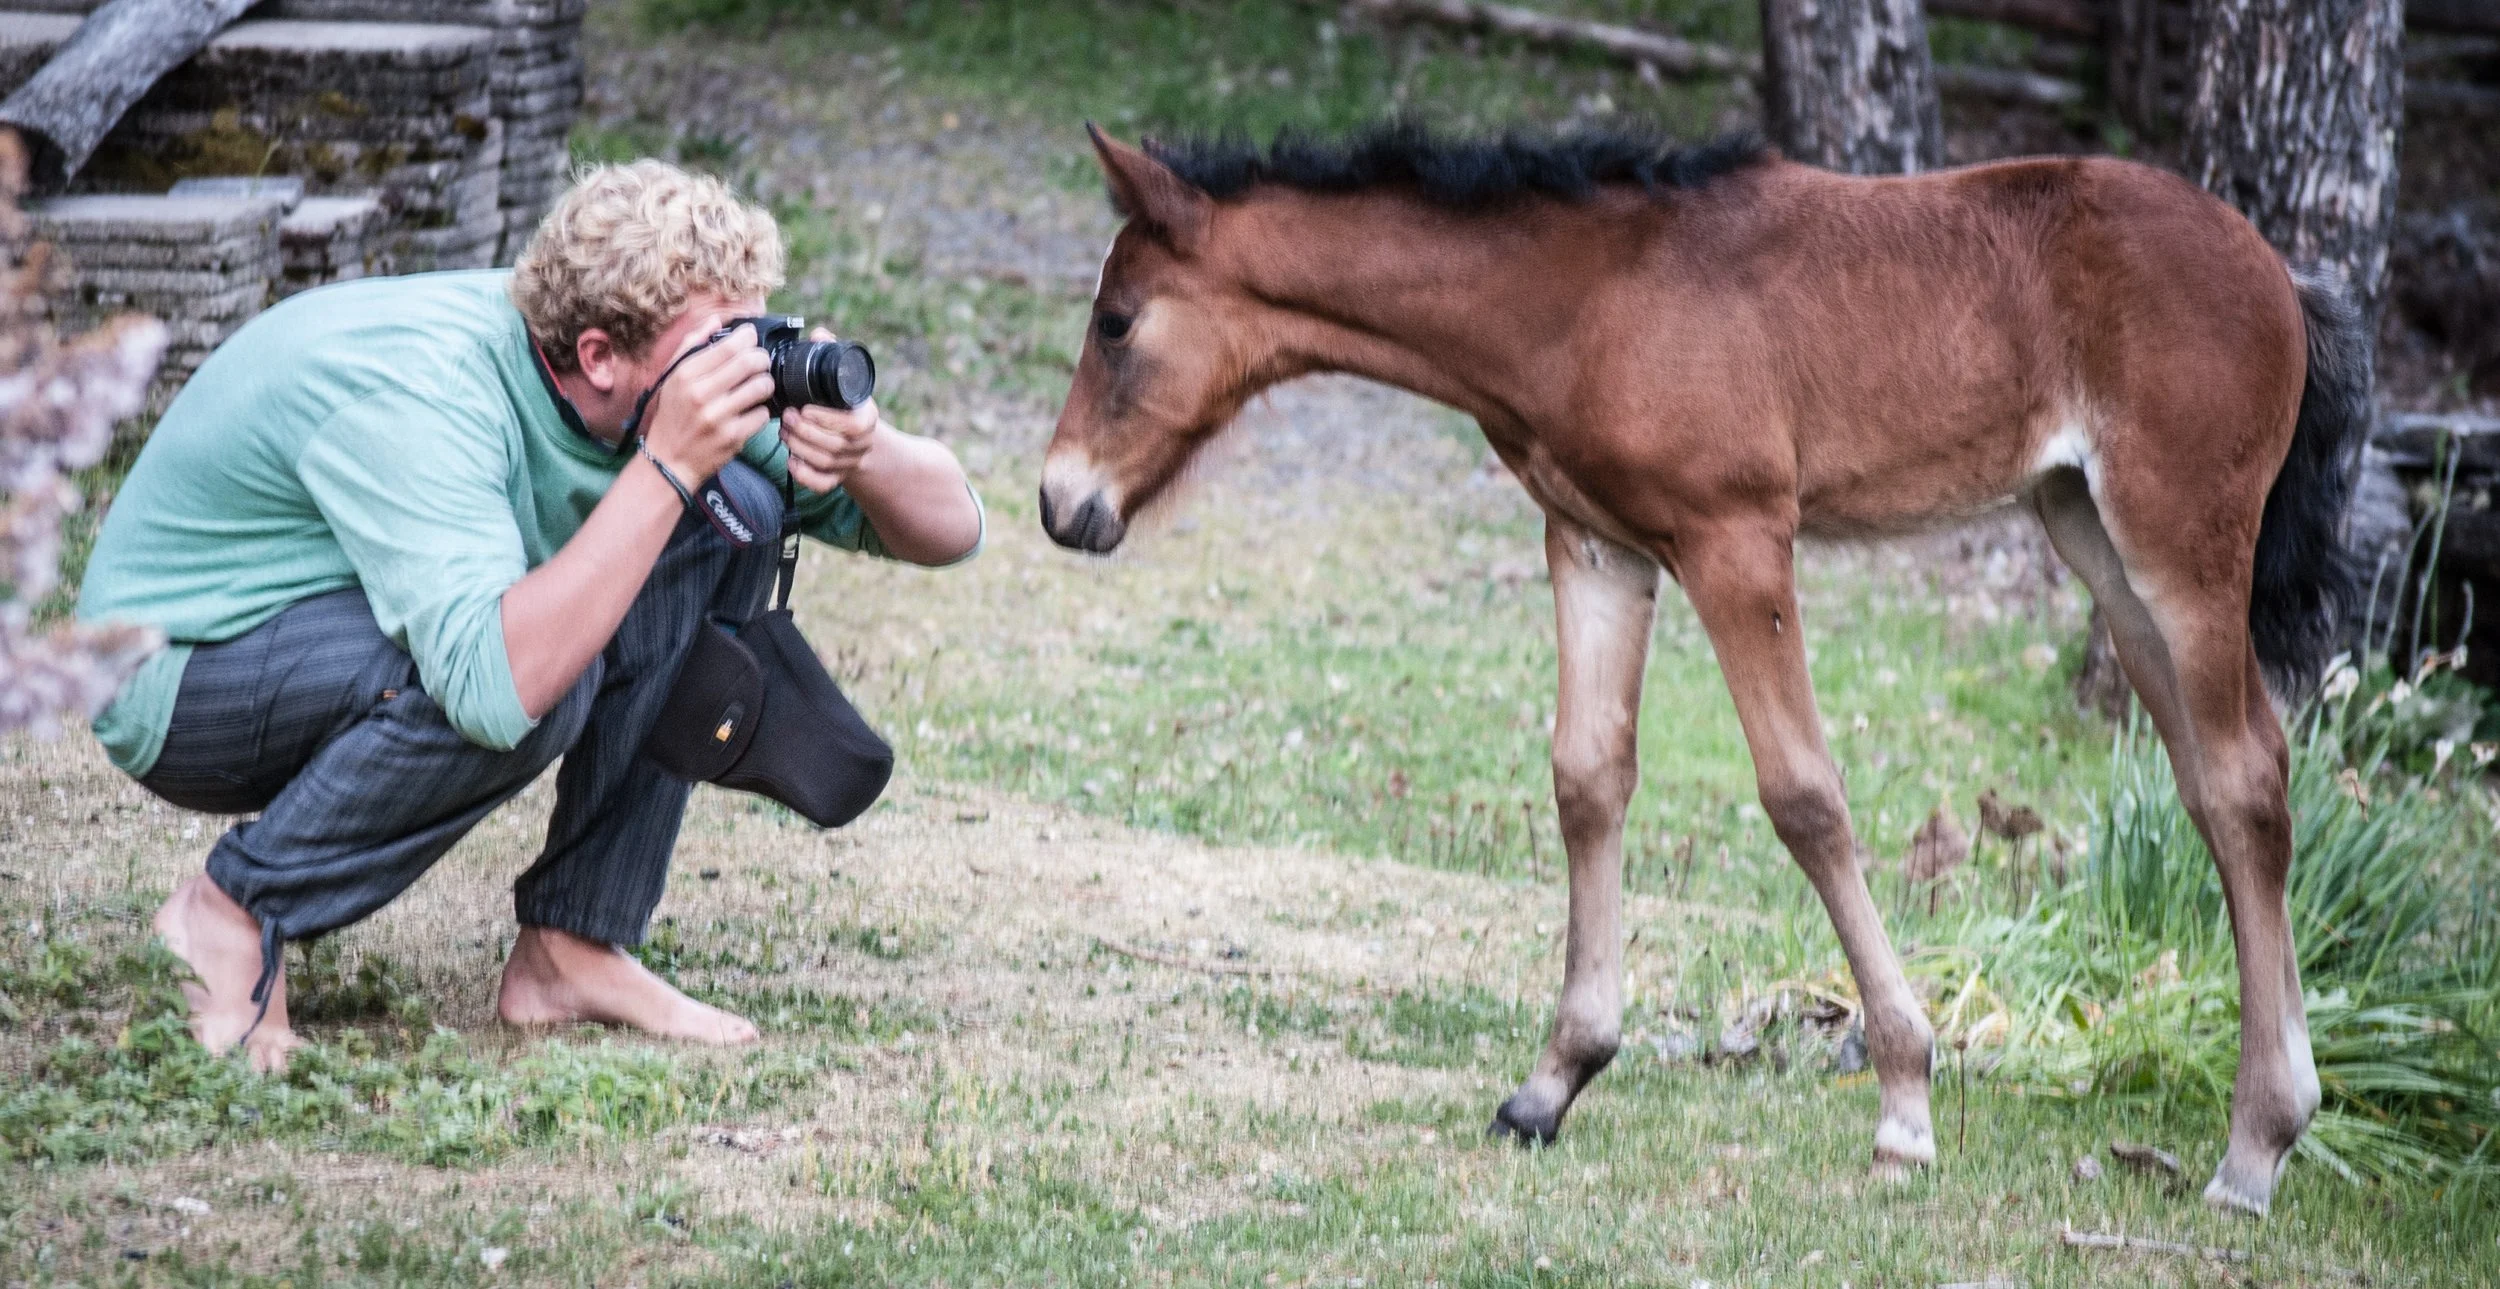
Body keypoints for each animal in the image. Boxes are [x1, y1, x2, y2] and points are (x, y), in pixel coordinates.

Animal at [1039, 123, 2368, 1217]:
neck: (1586, 297)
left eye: (1115, 322)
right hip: (2095, 543)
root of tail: (2282, 276)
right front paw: (1553, 1082)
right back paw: (2273, 1120)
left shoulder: (1736, 538)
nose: (1060, 504)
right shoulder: (1596, 542)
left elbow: (1804, 795)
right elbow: (1587, 777)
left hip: (2179, 547)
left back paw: (2253, 1151)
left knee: (2244, 776)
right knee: (2220, 786)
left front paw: (1904, 1103)